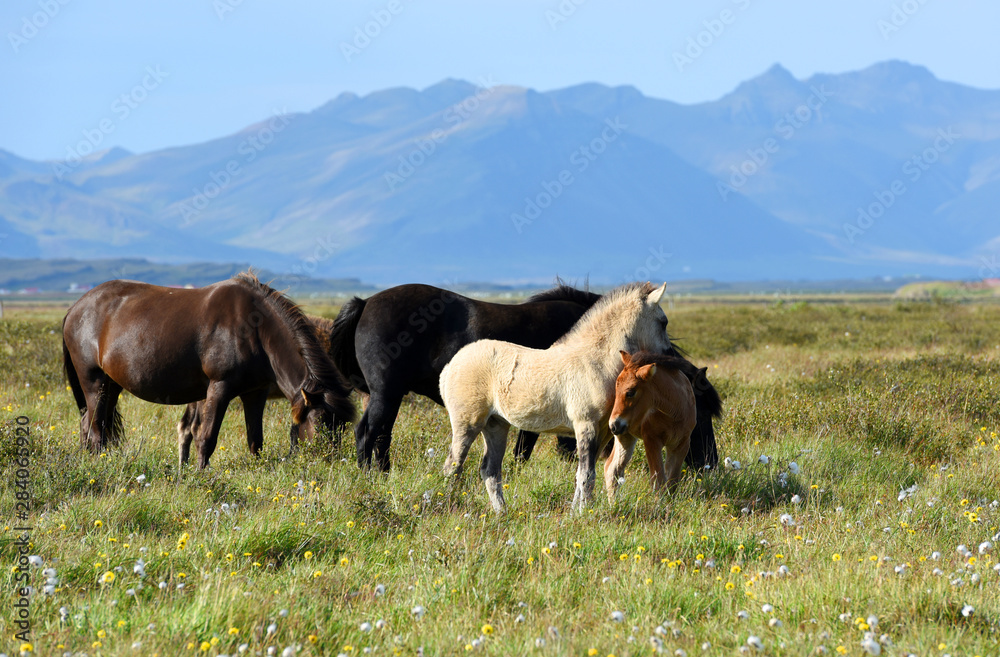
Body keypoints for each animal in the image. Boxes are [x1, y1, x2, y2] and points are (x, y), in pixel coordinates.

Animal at [440, 282, 673, 512]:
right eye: (663, 322)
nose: (669, 356)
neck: (595, 362)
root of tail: (450, 366)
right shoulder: (585, 425)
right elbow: (587, 475)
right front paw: (583, 514)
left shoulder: (604, 430)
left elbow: (583, 474)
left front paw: (578, 511)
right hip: (467, 423)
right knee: (453, 465)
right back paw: (449, 506)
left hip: (496, 425)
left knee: (489, 470)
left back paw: (502, 512)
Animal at [605, 351, 706, 498]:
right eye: (616, 389)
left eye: (631, 392)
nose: (613, 425)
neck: (676, 412)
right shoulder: (651, 440)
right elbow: (658, 481)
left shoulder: (682, 443)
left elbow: (672, 482)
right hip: (624, 436)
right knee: (612, 469)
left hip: (626, 437)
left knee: (612, 468)